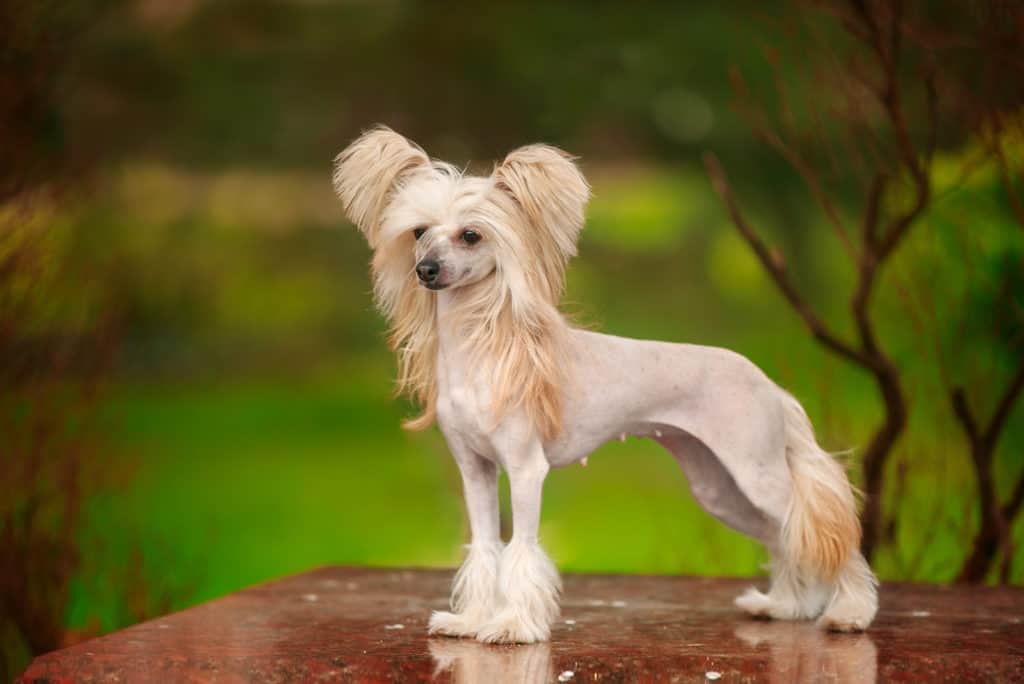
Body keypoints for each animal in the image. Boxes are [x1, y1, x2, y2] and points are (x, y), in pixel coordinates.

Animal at [331, 125, 876, 643]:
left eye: (471, 235)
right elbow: (486, 548)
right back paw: (786, 606)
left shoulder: (525, 470)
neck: (480, 351)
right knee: (783, 536)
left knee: (827, 537)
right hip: (720, 487)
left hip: (758, 475)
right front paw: (472, 620)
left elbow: (521, 548)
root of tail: (771, 387)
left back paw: (848, 612)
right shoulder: (476, 470)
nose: (425, 270)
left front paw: (513, 627)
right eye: (419, 232)